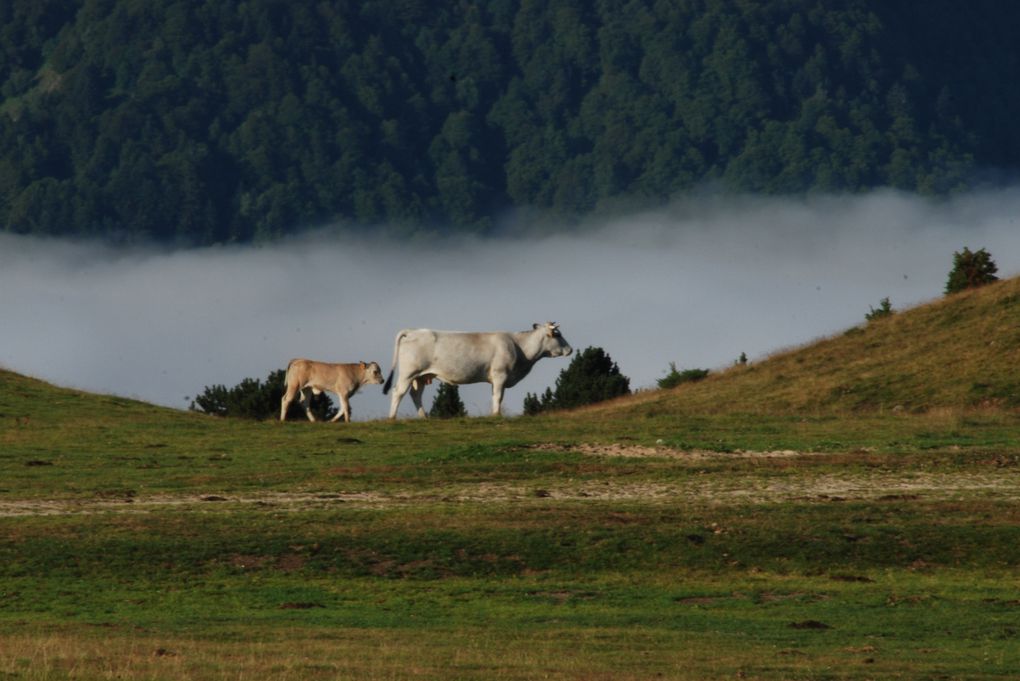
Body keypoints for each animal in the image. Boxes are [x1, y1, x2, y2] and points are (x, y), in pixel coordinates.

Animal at [383, 322, 575, 417]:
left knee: (415, 395)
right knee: (398, 392)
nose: (570, 349)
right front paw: (496, 415)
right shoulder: (500, 375)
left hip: (421, 376)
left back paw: (424, 417)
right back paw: (392, 418)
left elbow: (496, 396)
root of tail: (413, 331)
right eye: (558, 334)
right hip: (408, 373)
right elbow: (498, 397)